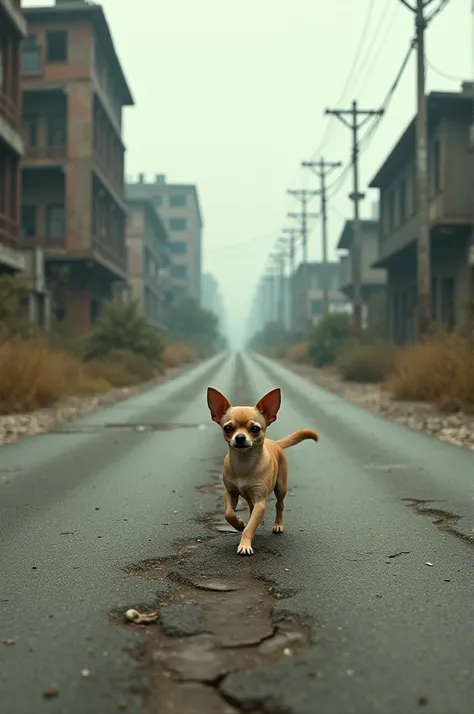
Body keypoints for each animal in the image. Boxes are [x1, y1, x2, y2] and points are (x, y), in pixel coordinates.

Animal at [207, 386, 318, 552]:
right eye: (227, 428)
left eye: (255, 429)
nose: (240, 437)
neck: (244, 462)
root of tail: (276, 443)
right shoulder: (230, 493)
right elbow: (229, 514)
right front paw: (239, 524)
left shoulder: (260, 501)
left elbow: (250, 525)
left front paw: (245, 544)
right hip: (250, 496)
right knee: (251, 508)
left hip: (281, 487)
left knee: (279, 504)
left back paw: (278, 524)